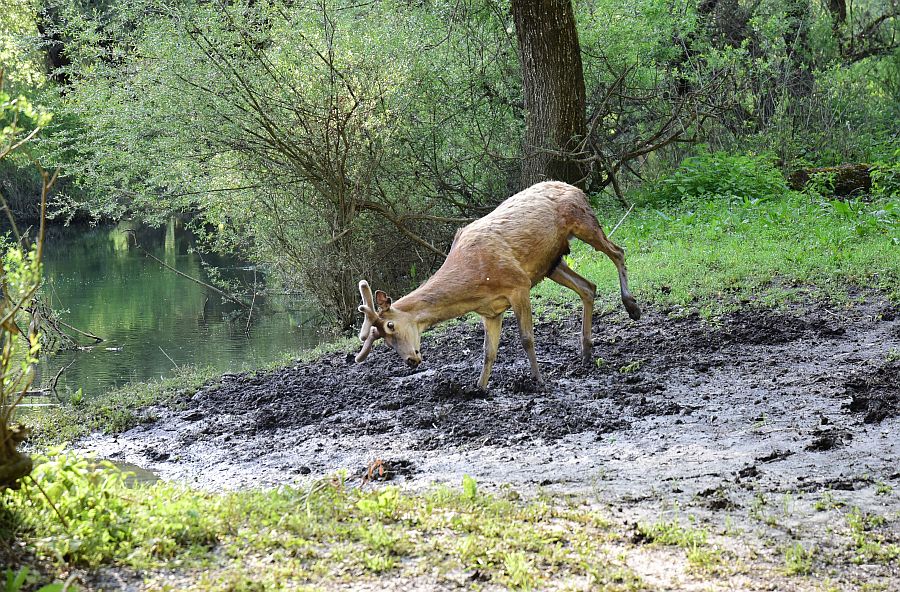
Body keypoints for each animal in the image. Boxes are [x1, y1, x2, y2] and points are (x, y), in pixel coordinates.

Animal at [354, 180, 640, 388]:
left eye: (390, 326)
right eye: (384, 342)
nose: (411, 360)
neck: (473, 280)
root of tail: (575, 187)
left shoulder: (519, 284)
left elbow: (526, 338)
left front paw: (539, 380)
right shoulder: (490, 310)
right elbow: (488, 351)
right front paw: (479, 389)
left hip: (583, 221)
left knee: (618, 252)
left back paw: (632, 307)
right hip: (551, 264)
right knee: (588, 287)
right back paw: (586, 352)